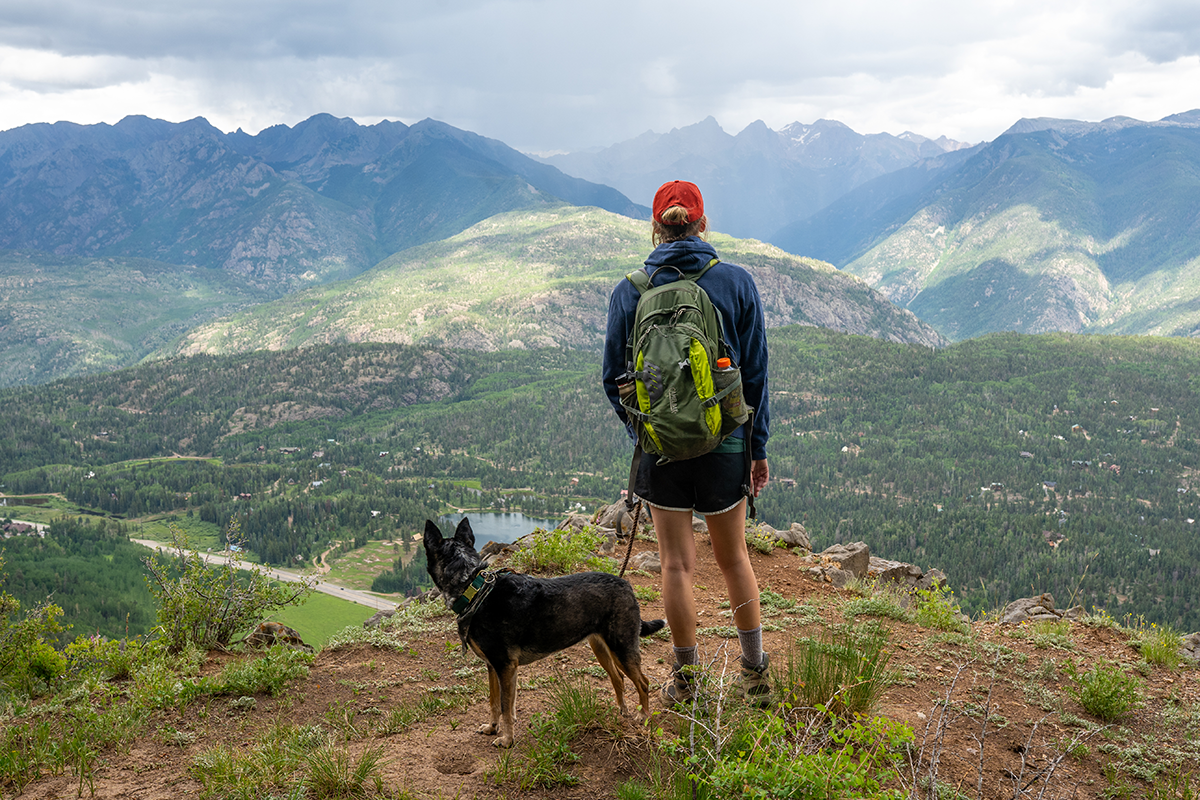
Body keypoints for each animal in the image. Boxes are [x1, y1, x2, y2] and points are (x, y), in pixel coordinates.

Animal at [424, 515, 667, 748]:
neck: (475, 589)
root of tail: (626, 585)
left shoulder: (505, 667)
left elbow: (505, 708)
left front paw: (507, 740)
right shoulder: (493, 667)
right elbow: (494, 703)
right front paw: (493, 728)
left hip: (622, 648)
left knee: (643, 683)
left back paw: (644, 717)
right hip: (601, 648)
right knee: (619, 679)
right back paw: (623, 710)